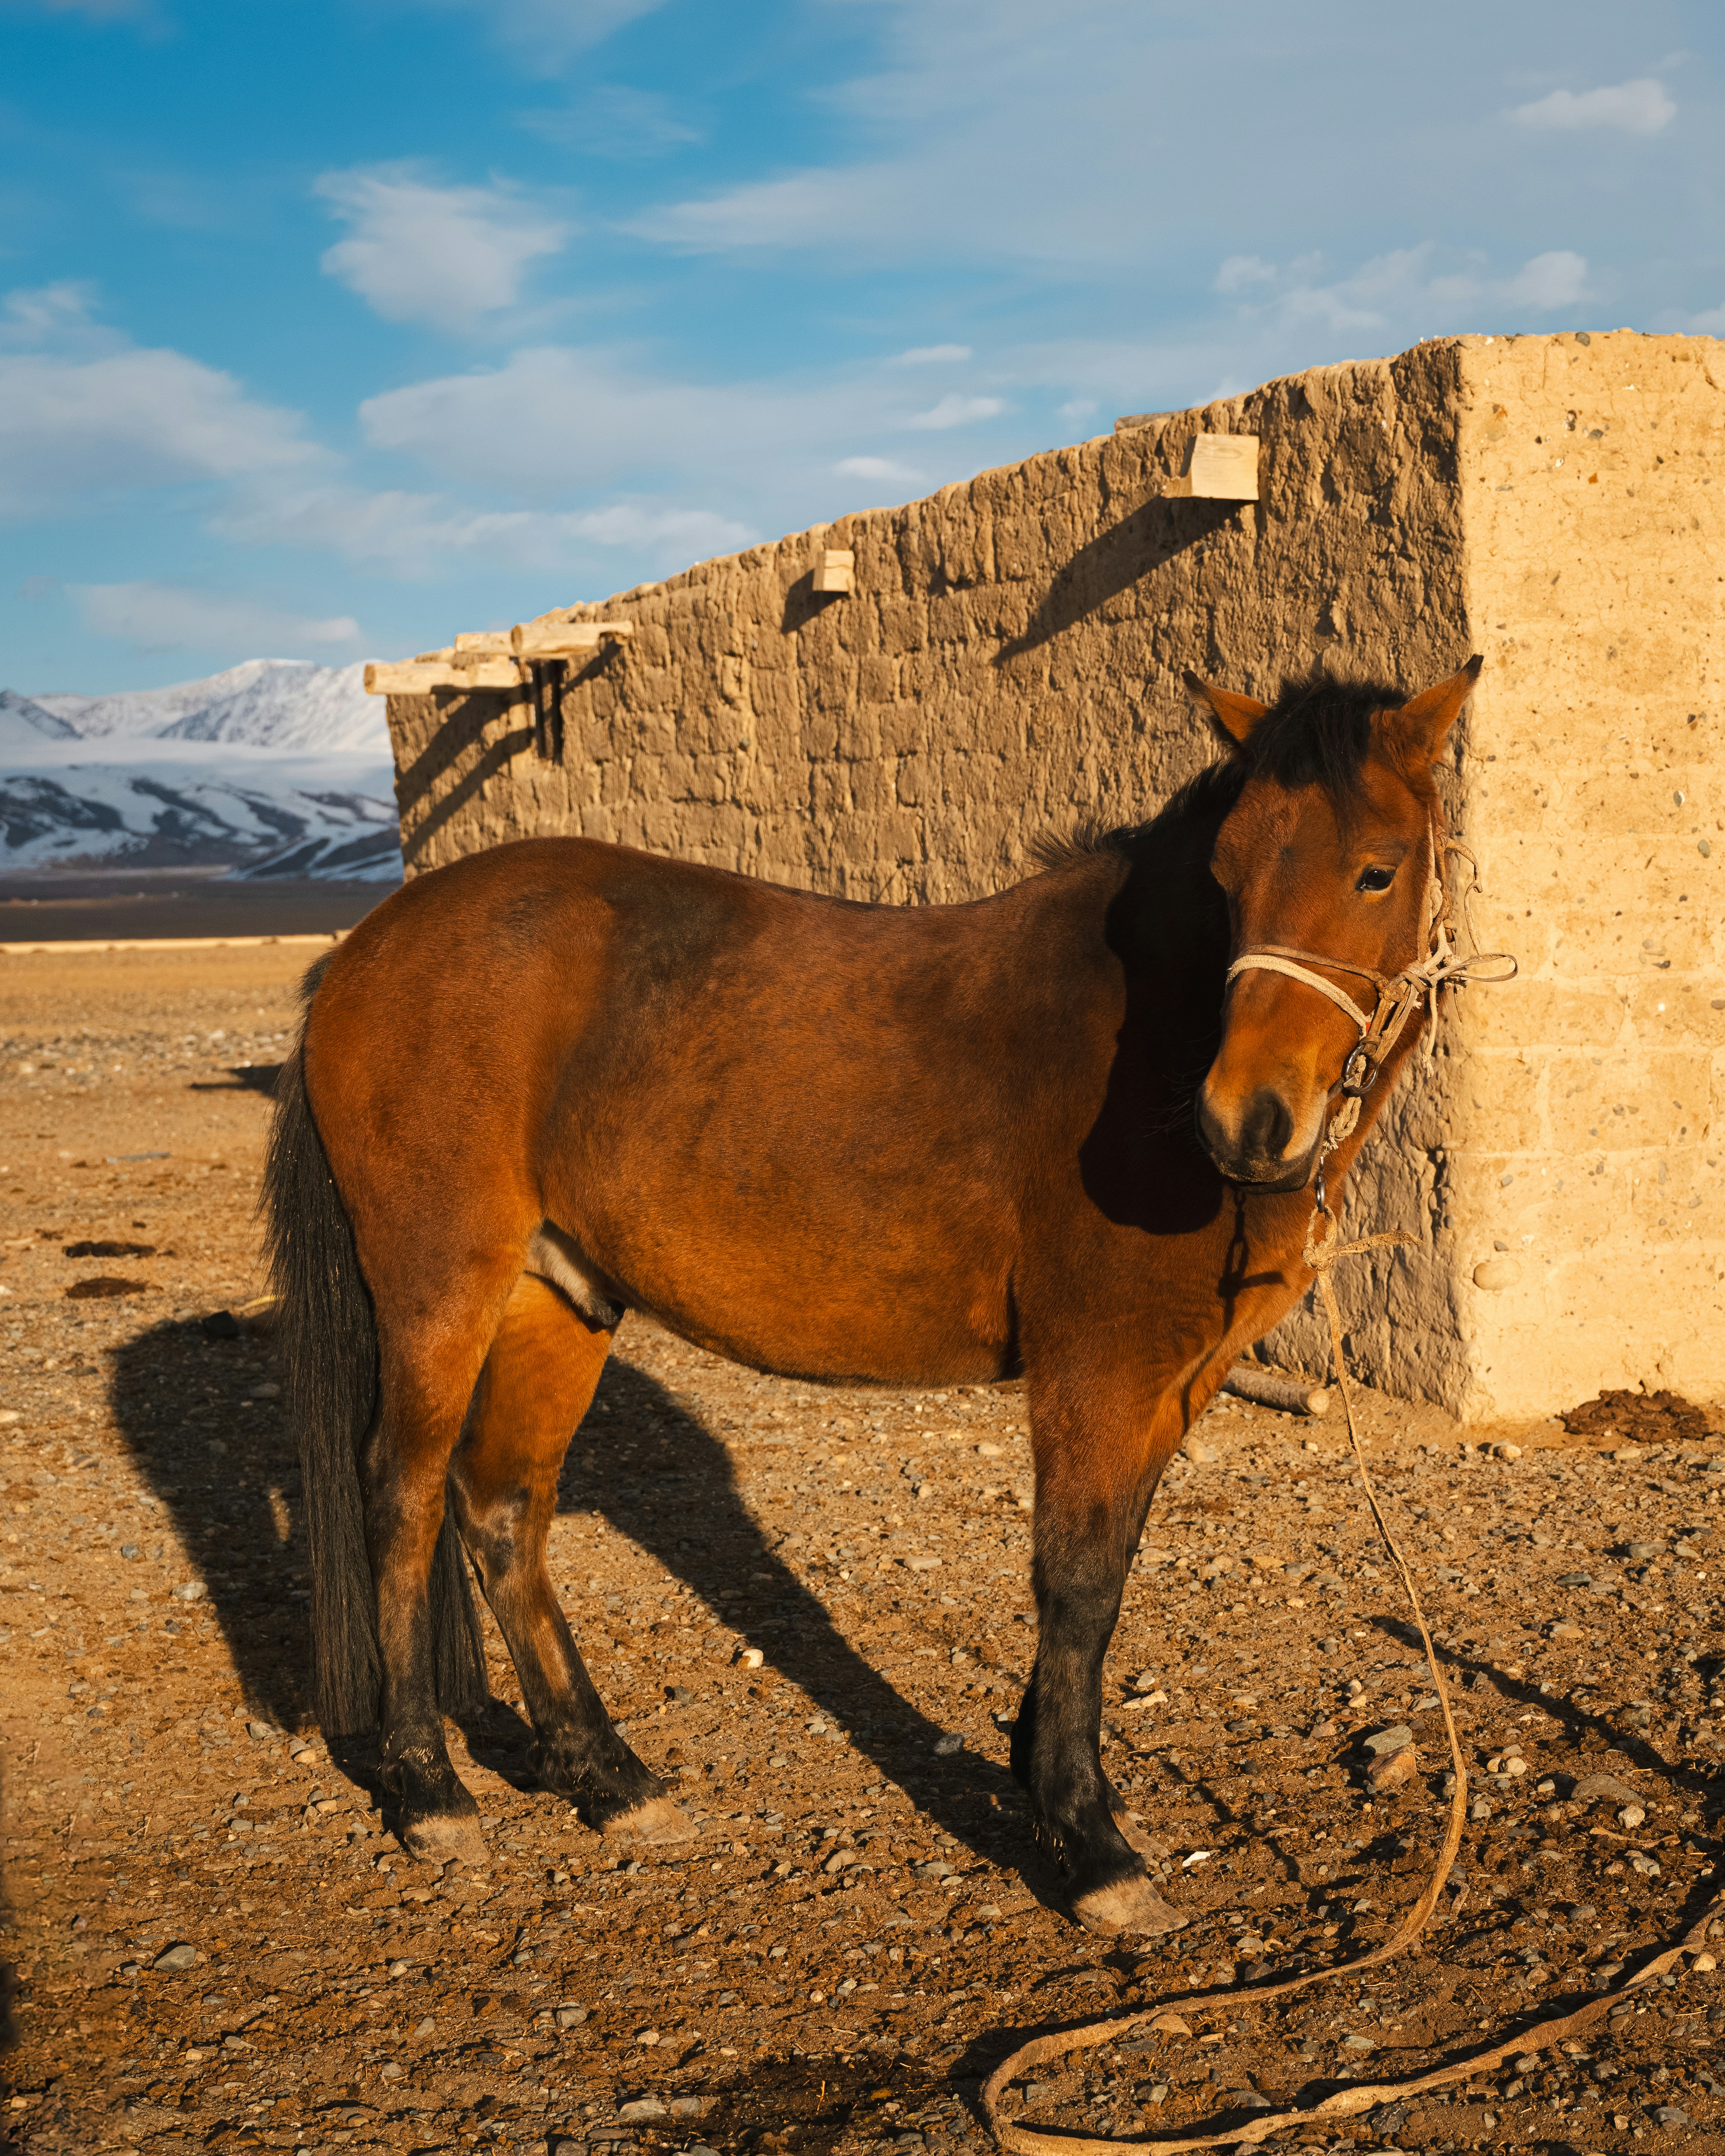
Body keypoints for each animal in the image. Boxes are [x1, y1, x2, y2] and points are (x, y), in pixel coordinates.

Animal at [263, 655, 1483, 1937]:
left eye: (1377, 867)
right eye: (1229, 873)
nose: (1246, 1119)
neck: (1142, 1043)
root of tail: (365, 950)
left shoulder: (1177, 1380)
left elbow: (1106, 1575)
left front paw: (1039, 1776)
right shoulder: (1093, 1370)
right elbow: (1075, 1580)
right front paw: (1089, 1840)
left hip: (559, 1295)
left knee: (501, 1507)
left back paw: (609, 1777)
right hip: (437, 1286)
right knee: (400, 1496)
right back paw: (428, 1786)